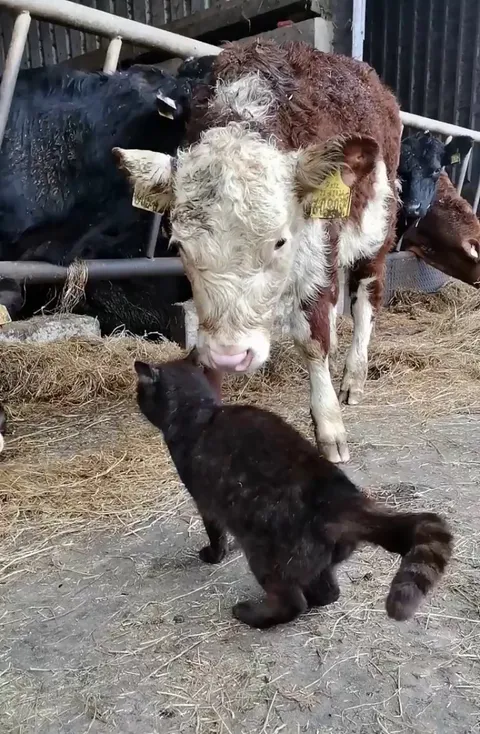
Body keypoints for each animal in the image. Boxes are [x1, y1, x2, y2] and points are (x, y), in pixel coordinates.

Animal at [114, 39, 402, 464]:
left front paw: (329, 424)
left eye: (280, 241)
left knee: (366, 298)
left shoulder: (316, 253)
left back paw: (353, 377)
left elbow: (313, 340)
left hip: (376, 233)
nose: (232, 356)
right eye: (179, 245)